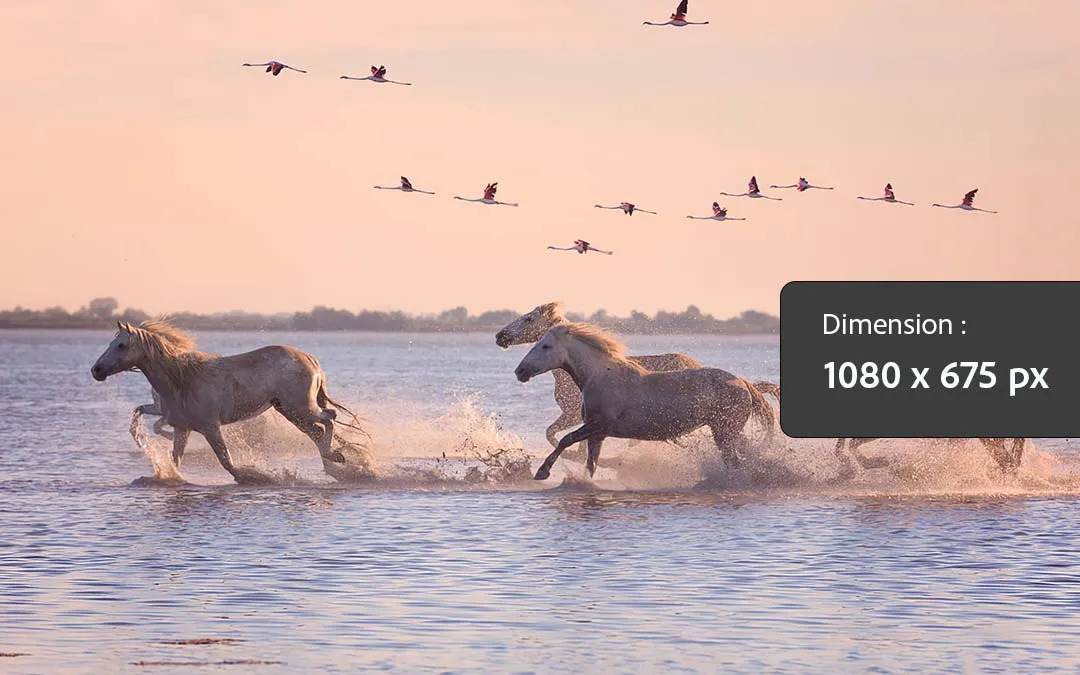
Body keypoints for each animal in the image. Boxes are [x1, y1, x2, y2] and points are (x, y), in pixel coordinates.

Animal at [92, 319, 367, 484]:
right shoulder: (182, 428)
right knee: (318, 431)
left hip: (300, 408)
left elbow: (227, 462)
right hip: (290, 411)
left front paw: (255, 477)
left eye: (121, 345)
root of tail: (310, 359)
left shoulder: (210, 427)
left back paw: (337, 458)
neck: (181, 380)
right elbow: (174, 457)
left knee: (329, 418)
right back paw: (337, 466)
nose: (96, 370)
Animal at [513, 323, 778, 480]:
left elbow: (565, 440)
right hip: (727, 432)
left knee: (736, 462)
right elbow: (591, 463)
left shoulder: (598, 425)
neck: (599, 375)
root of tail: (743, 383)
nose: (520, 371)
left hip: (725, 432)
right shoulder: (598, 434)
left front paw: (542, 472)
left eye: (545, 346)